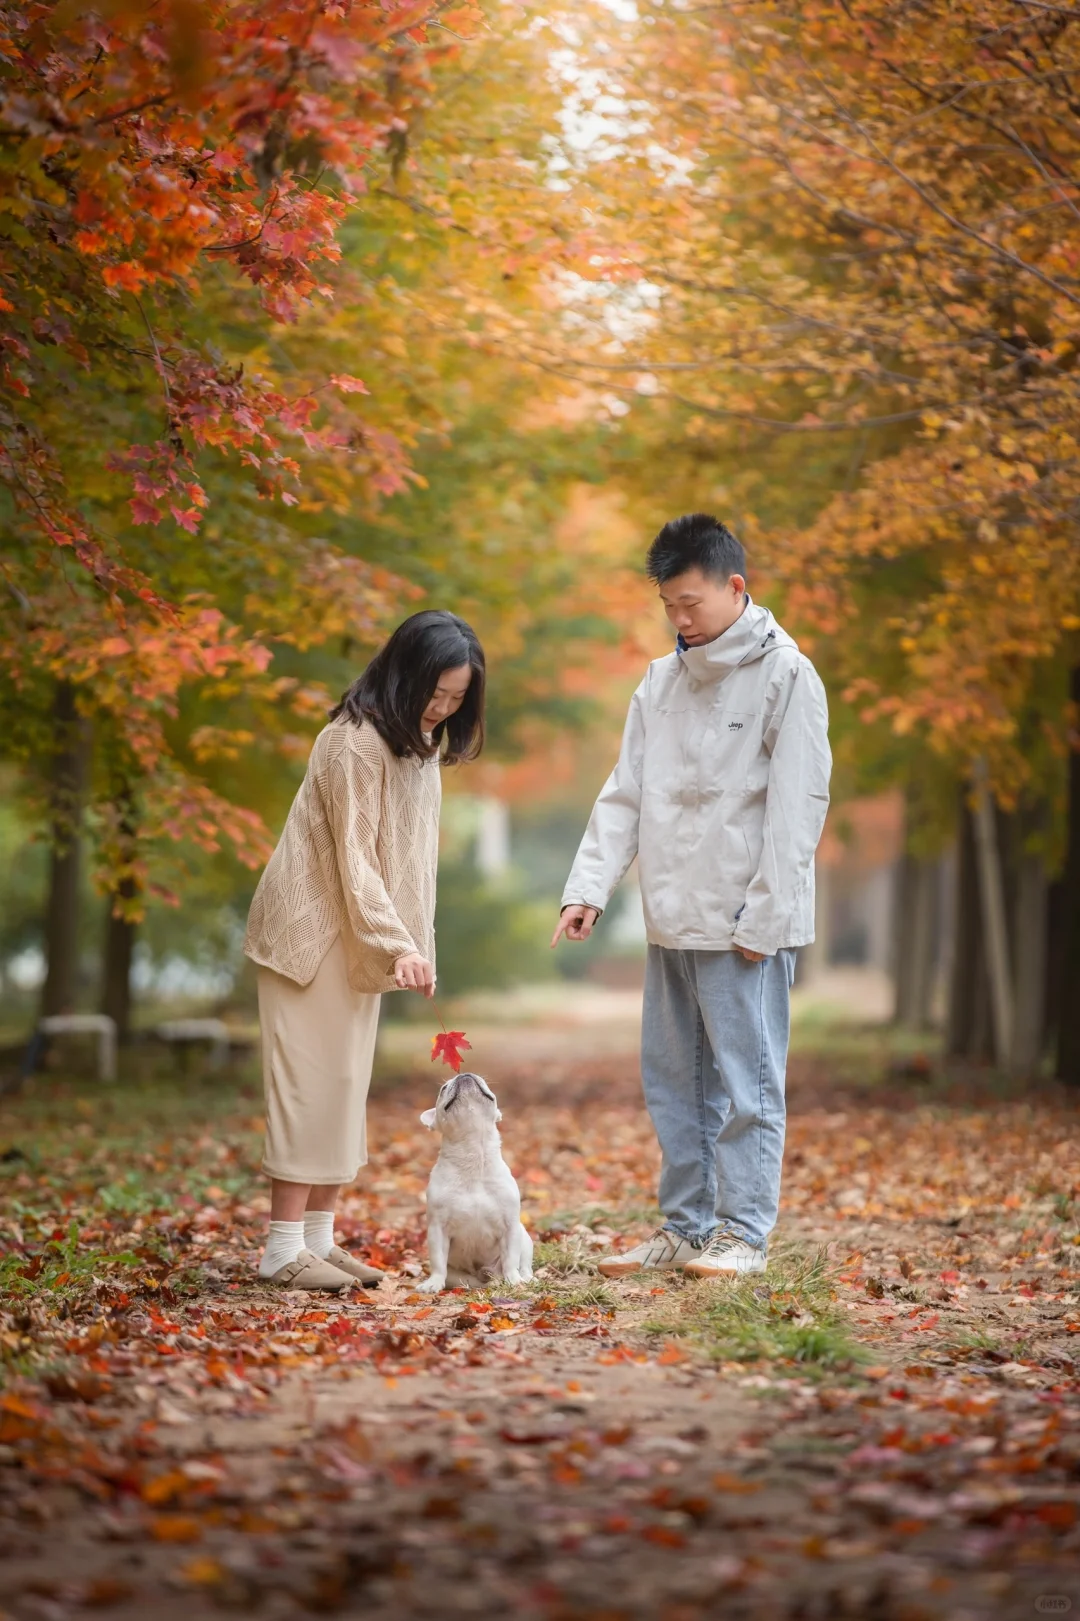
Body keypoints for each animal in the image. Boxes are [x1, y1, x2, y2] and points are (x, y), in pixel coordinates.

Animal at [413, 1076, 531, 1290]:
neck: (473, 1156)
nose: (464, 1074)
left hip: (524, 1237)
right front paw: (433, 1282)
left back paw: (524, 1277)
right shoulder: (437, 1228)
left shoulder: (510, 1226)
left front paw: (514, 1278)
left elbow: (511, 1258)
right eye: (443, 1089)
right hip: (459, 1276)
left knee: (524, 1262)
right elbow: (438, 1260)